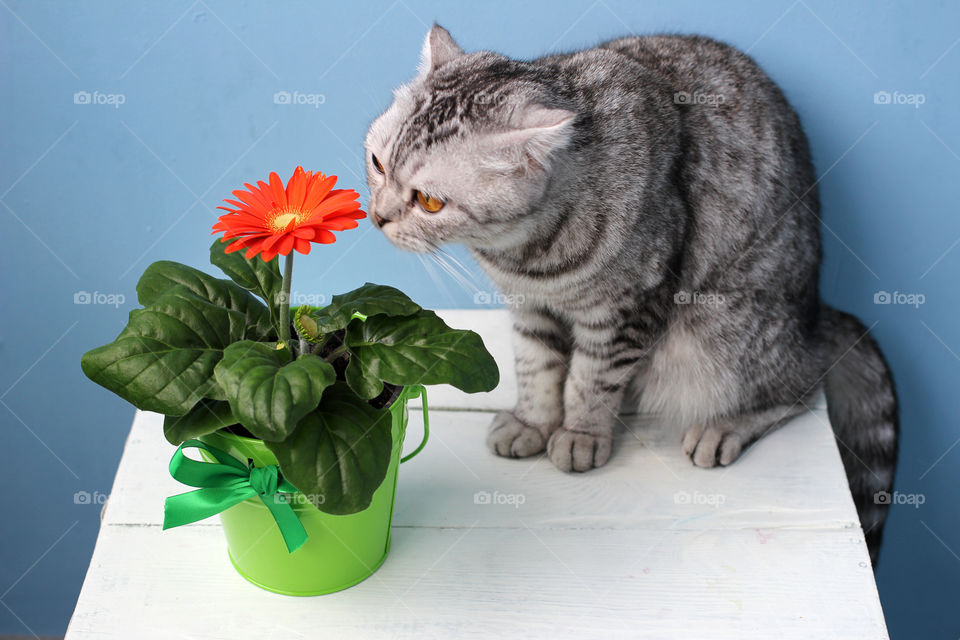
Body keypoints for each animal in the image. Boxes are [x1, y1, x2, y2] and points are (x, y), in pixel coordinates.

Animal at [364, 23, 896, 564]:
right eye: (378, 164)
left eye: (430, 202)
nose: (378, 217)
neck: (525, 256)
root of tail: (815, 313)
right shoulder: (529, 308)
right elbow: (536, 367)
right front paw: (533, 421)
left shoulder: (628, 308)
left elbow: (590, 378)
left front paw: (580, 433)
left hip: (722, 332)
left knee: (802, 384)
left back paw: (724, 426)